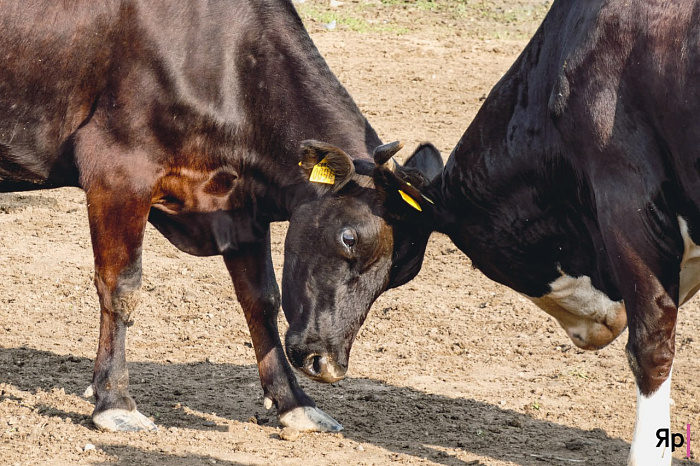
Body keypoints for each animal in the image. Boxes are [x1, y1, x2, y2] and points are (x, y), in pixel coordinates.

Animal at [0, 0, 438, 434]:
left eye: (399, 276)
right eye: (349, 238)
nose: (327, 365)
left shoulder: (240, 207)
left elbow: (262, 300)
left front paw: (294, 402)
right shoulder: (117, 172)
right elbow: (122, 289)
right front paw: (114, 402)